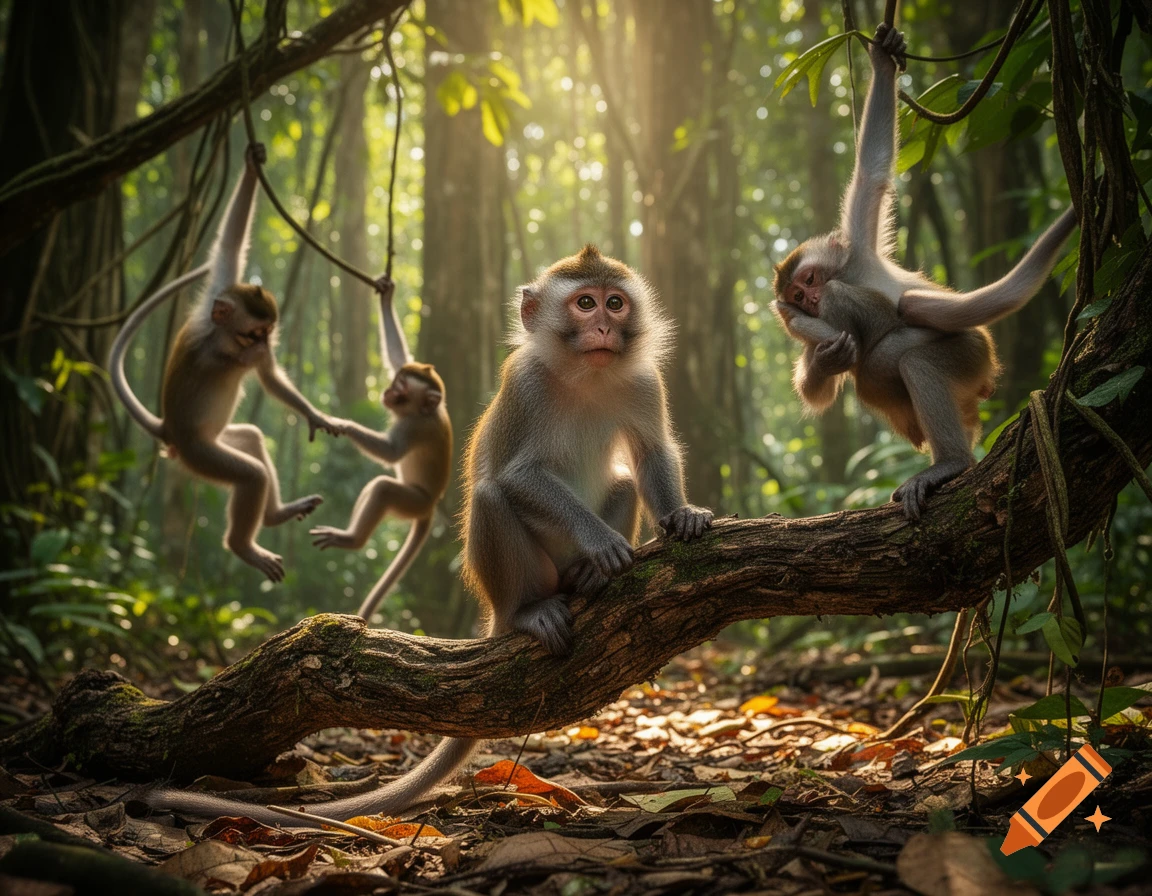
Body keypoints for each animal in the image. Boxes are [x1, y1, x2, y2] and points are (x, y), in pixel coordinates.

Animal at [108, 143, 338, 581]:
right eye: (253, 333)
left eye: (268, 331)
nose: (266, 344)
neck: (218, 335)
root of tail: (169, 431)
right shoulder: (219, 352)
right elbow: (257, 374)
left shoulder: (220, 291)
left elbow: (230, 247)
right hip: (202, 455)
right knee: (251, 474)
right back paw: (243, 546)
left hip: (219, 440)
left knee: (251, 438)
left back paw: (276, 514)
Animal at [309, 276, 452, 620]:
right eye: (396, 380)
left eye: (401, 389)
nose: (387, 391)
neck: (423, 412)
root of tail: (430, 506)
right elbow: (399, 354)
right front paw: (387, 296)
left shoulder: (414, 428)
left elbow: (391, 453)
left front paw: (340, 423)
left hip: (410, 501)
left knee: (385, 488)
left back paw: (352, 541)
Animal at [772, 23, 1077, 519]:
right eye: (798, 295)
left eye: (811, 281)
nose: (811, 301)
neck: (847, 273)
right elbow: (820, 388)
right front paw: (822, 358)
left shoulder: (858, 248)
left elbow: (873, 173)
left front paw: (882, 61)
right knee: (871, 371)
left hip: (973, 353)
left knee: (908, 346)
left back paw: (950, 462)